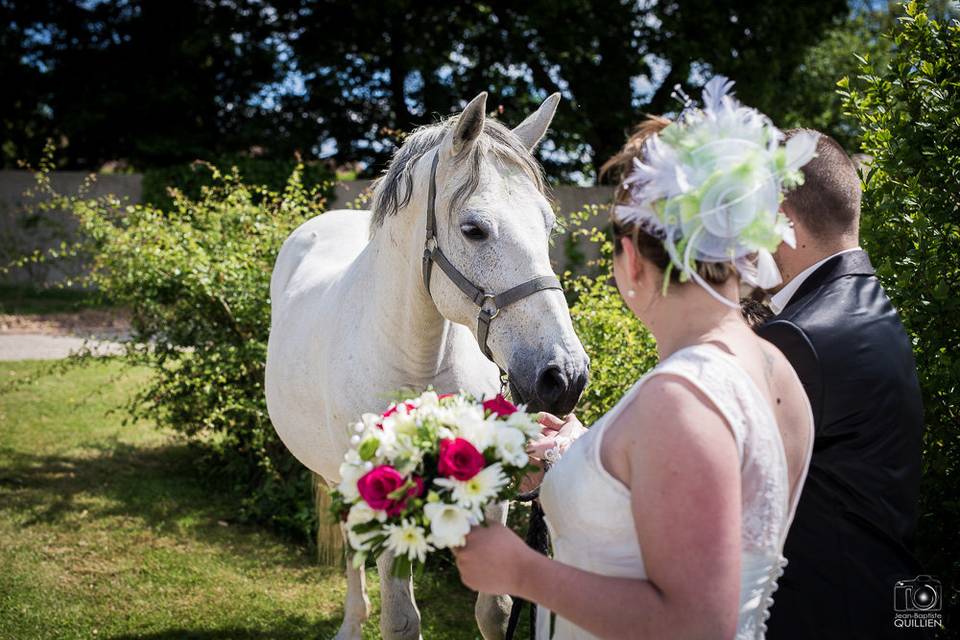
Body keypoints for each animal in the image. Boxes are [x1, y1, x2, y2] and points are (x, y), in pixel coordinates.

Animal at [266, 94, 588, 640]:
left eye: (547, 226)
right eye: (474, 229)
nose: (564, 376)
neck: (417, 361)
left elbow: (495, 610)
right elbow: (400, 619)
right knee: (353, 552)